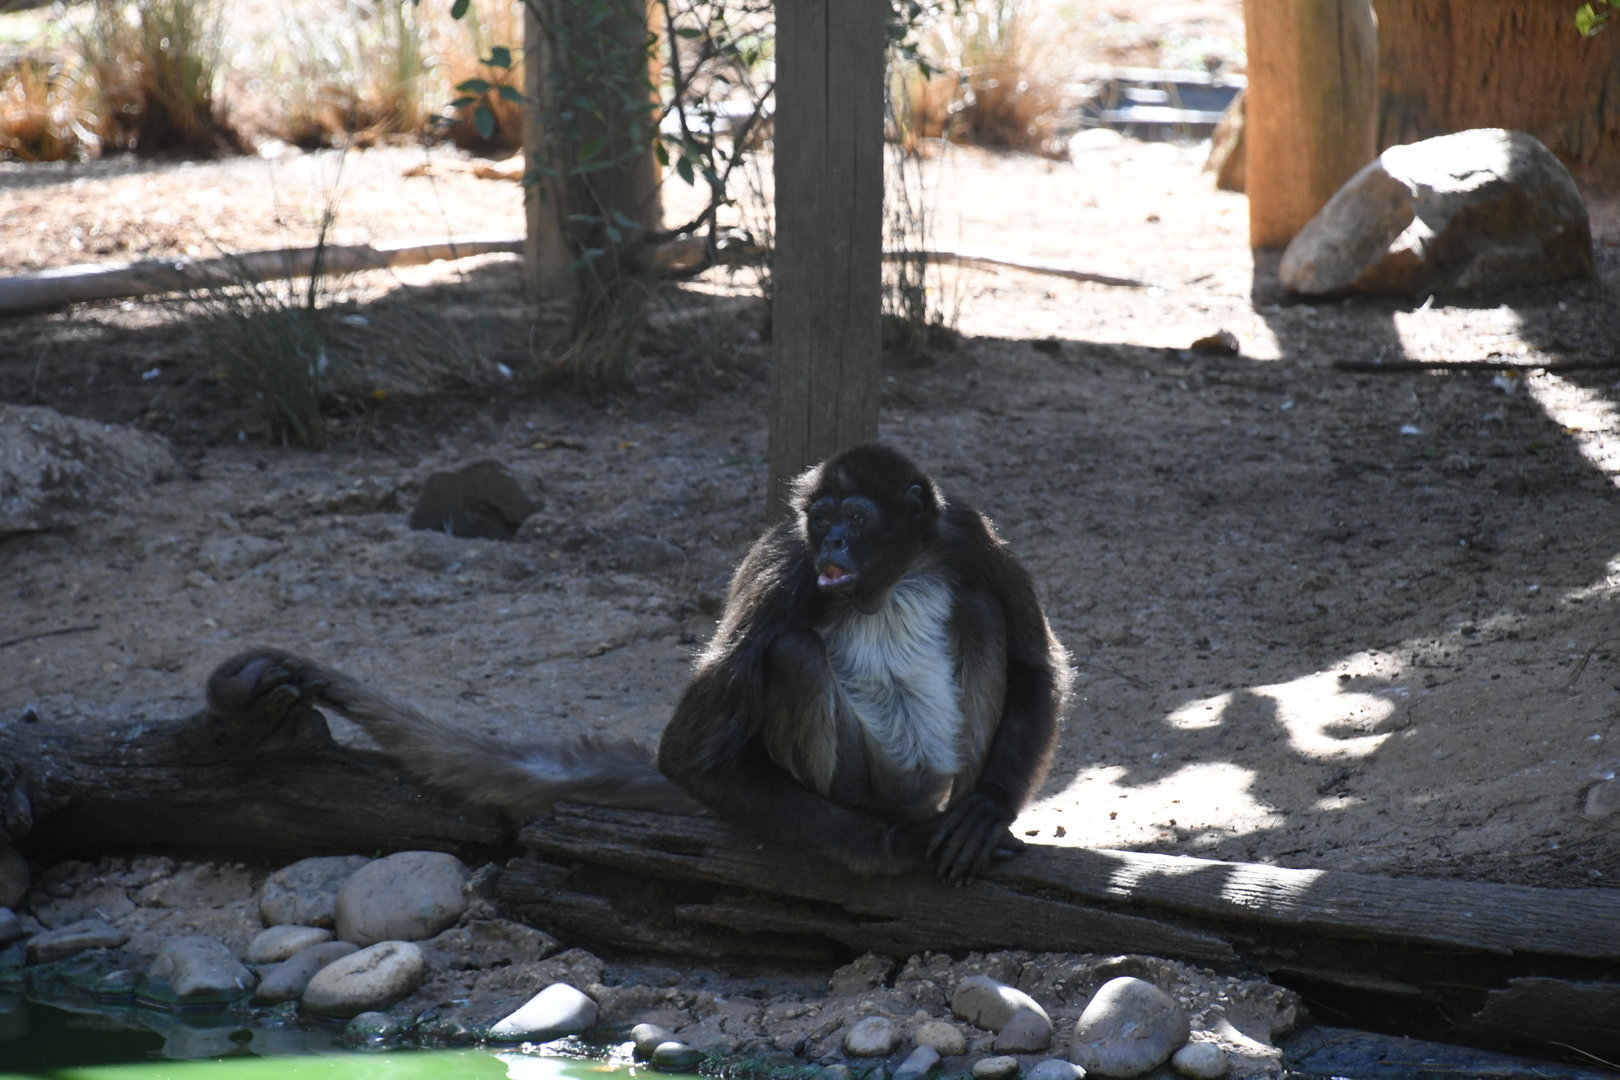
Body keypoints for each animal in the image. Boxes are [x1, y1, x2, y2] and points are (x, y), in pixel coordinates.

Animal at [208, 443, 1070, 883]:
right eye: (821, 516)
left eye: (855, 518)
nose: (830, 541)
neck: (888, 574)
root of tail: (916, 793)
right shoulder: (783, 561)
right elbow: (687, 754)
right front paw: (884, 853)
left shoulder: (965, 534)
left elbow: (1037, 665)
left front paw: (988, 812)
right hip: (864, 783)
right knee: (791, 653)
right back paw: (892, 831)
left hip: (932, 769)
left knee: (982, 611)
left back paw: (963, 819)